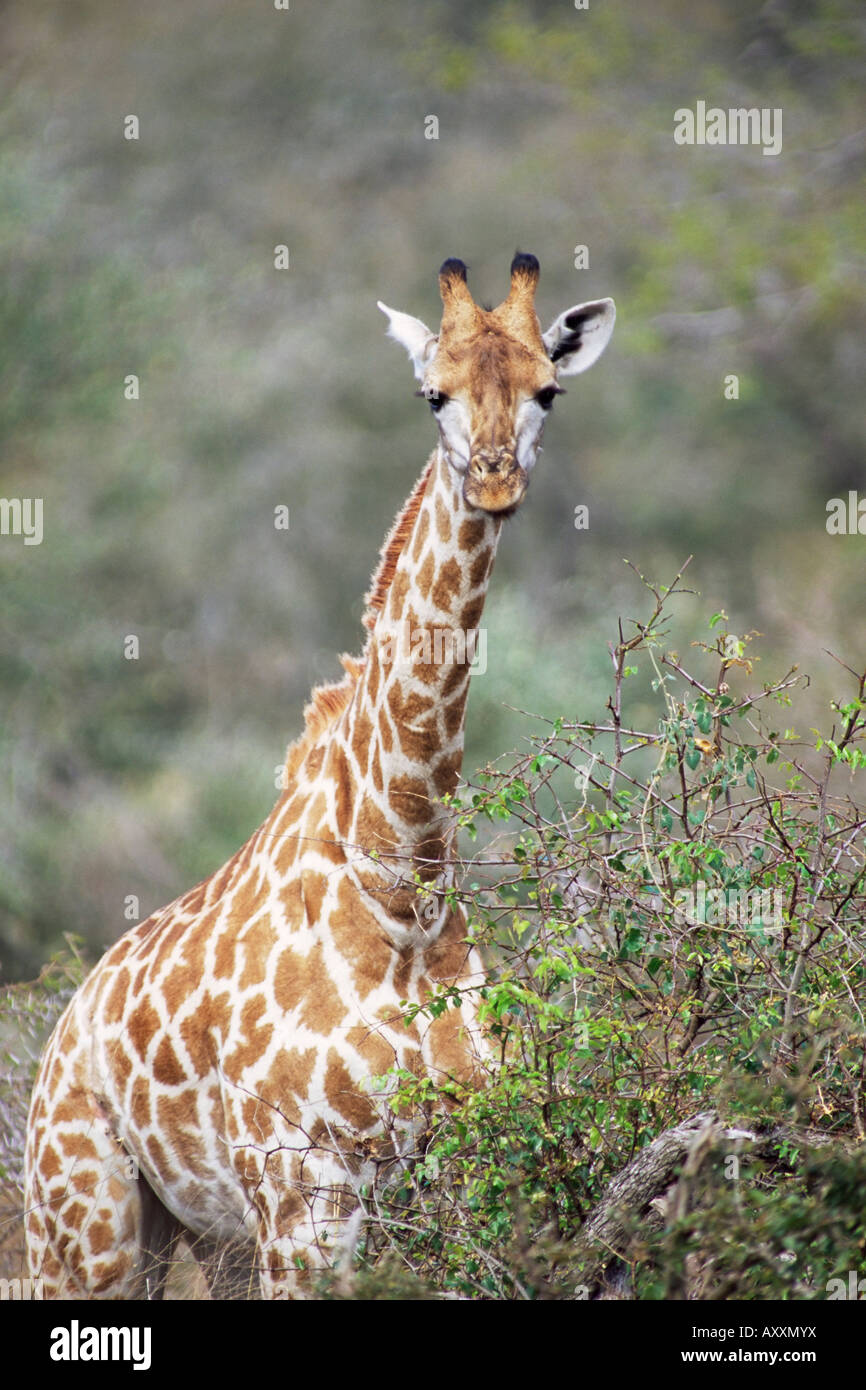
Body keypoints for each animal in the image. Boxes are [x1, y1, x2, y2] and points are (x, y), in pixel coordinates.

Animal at [23, 252, 614, 1301]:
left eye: (549, 389)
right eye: (433, 394)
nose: (496, 481)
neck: (403, 880)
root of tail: (61, 1032)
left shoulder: (464, 1162)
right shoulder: (304, 1188)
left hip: (201, 1236)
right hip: (87, 1227)